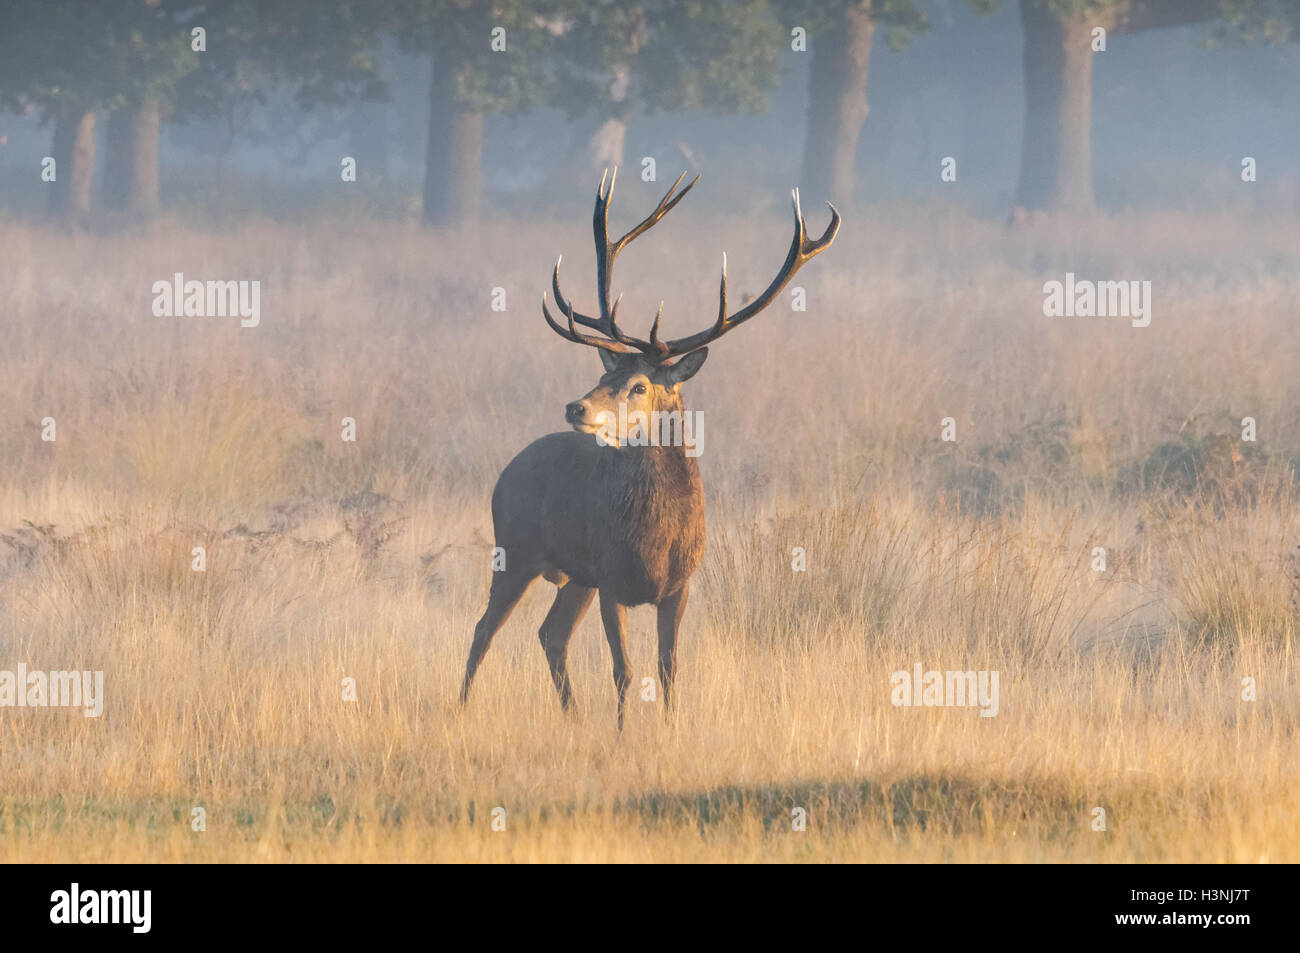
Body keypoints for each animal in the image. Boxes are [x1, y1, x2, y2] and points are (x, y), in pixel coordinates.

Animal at [459, 169, 839, 729]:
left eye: (638, 385)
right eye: (604, 376)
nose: (575, 407)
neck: (655, 541)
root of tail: (508, 470)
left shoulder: (679, 586)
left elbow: (667, 667)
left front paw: (669, 727)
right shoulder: (611, 578)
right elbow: (623, 670)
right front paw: (622, 734)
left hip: (573, 576)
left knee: (550, 634)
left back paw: (573, 718)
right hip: (516, 549)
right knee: (485, 629)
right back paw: (461, 707)